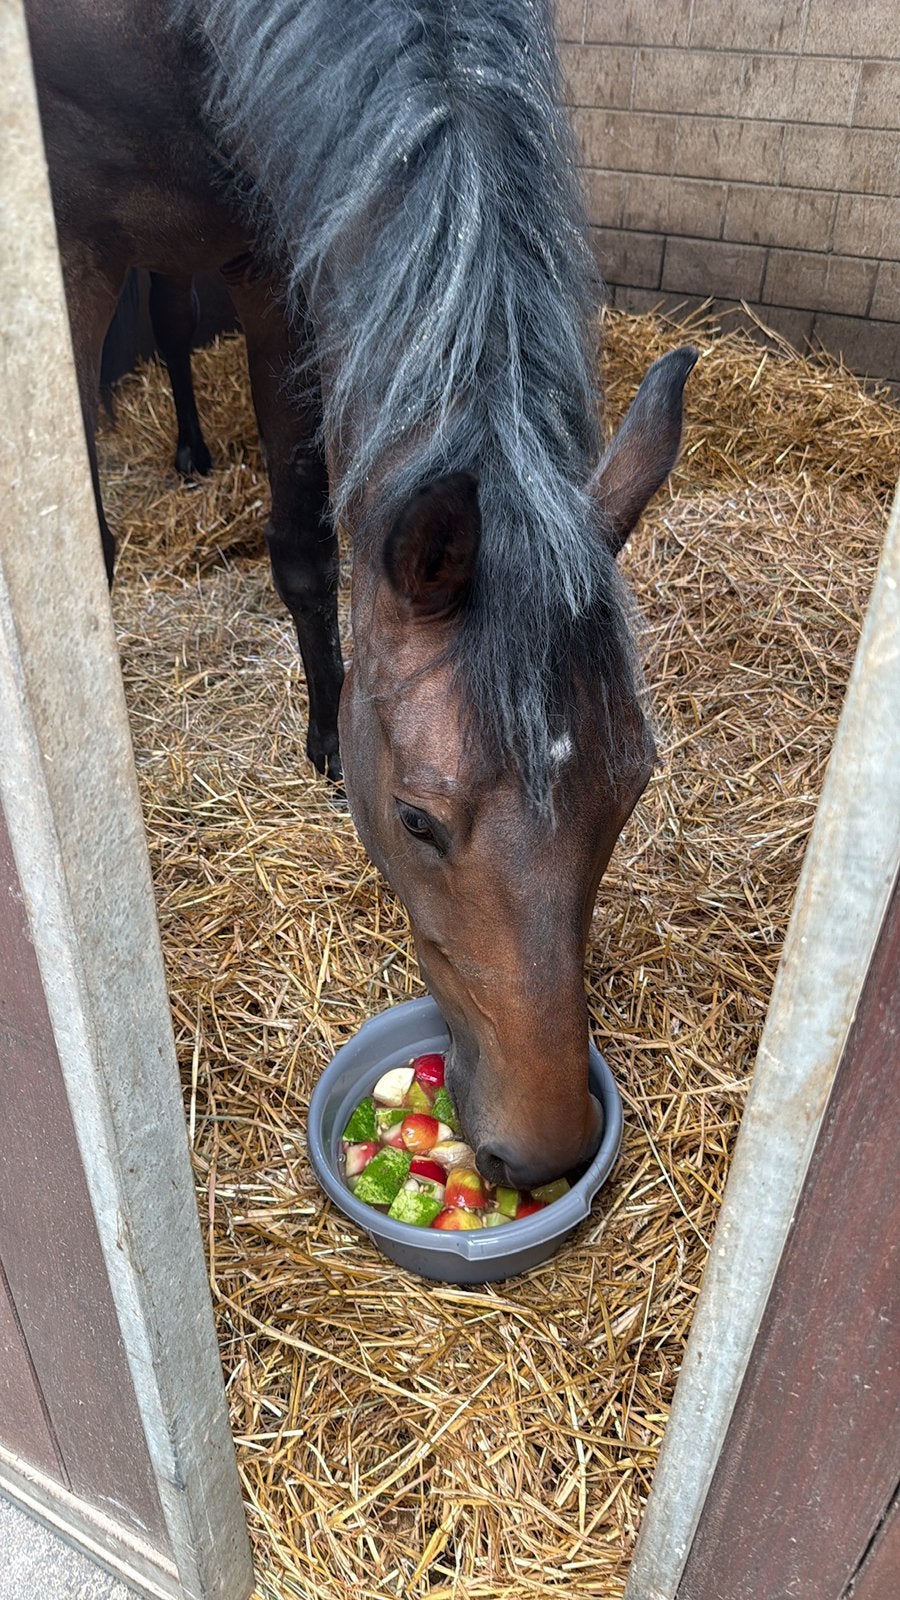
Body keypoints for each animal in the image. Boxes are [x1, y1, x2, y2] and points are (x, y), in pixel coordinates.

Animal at [27, 0, 697, 1189]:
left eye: (631, 788)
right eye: (417, 820)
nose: (543, 1146)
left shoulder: (278, 256)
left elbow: (304, 543)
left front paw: (328, 731)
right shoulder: (80, 242)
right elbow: (101, 543)